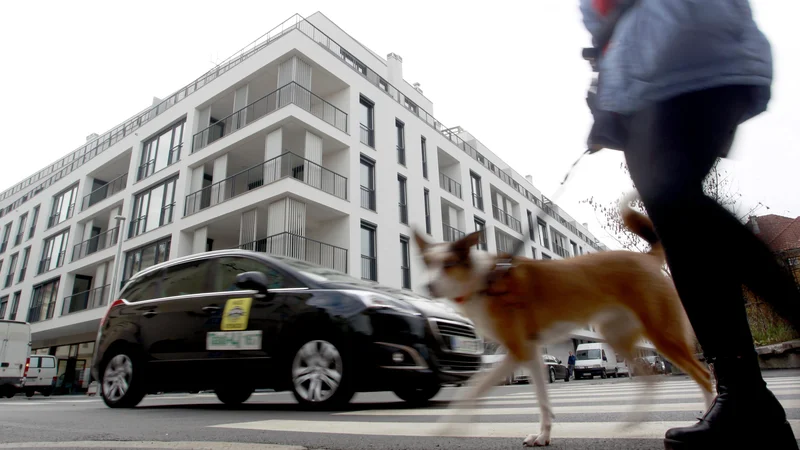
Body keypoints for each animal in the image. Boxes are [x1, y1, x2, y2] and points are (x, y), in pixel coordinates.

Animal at [412, 192, 712, 448]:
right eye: (427, 263)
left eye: (448, 265)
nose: (427, 287)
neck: (485, 280)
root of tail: (646, 259)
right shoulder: (531, 352)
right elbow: (542, 400)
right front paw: (543, 435)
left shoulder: (518, 350)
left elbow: (474, 389)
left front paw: (449, 426)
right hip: (616, 334)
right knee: (651, 378)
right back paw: (632, 422)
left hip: (663, 334)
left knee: (705, 376)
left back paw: (704, 420)